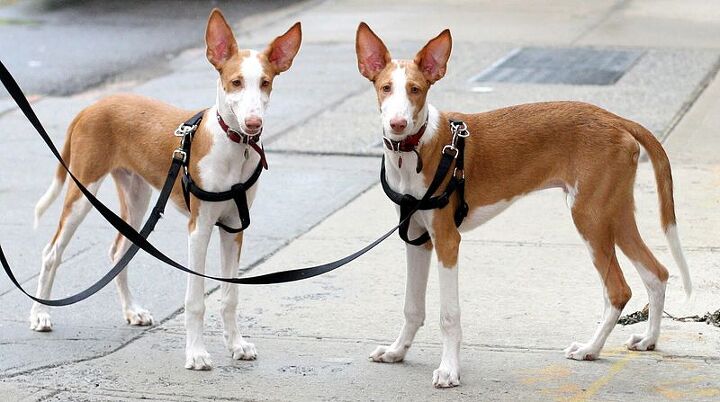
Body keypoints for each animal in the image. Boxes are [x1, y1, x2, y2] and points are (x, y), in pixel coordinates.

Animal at [30, 8, 300, 370]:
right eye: (236, 82)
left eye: (265, 83)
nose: (253, 124)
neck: (233, 147)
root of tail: (92, 105)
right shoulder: (199, 229)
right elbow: (196, 299)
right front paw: (197, 353)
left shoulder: (233, 227)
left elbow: (230, 295)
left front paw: (236, 345)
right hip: (83, 189)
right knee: (52, 252)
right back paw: (40, 314)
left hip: (137, 195)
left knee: (119, 251)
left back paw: (132, 311)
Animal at [354, 23, 692, 388]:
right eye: (386, 88)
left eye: (415, 90)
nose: (398, 124)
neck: (415, 151)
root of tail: (616, 118)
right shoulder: (418, 240)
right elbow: (412, 307)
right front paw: (397, 352)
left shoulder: (446, 240)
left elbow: (449, 314)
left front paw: (449, 370)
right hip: (613, 213)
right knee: (656, 273)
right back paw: (648, 340)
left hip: (590, 216)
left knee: (618, 290)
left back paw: (590, 349)